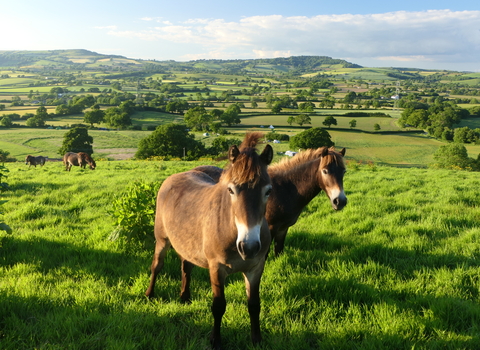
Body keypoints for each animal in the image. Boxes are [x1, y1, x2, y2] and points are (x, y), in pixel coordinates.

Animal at [145, 133, 274, 348]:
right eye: (231, 190)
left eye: (268, 191)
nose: (248, 247)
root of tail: (173, 177)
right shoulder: (216, 268)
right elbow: (218, 306)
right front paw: (215, 340)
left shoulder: (255, 268)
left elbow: (254, 305)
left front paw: (257, 339)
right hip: (162, 240)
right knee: (157, 266)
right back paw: (149, 294)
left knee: (186, 266)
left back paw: (184, 297)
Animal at [193, 146, 346, 256]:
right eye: (325, 171)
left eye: (343, 172)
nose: (340, 201)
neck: (285, 189)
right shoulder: (270, 228)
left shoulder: (283, 228)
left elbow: (279, 251)